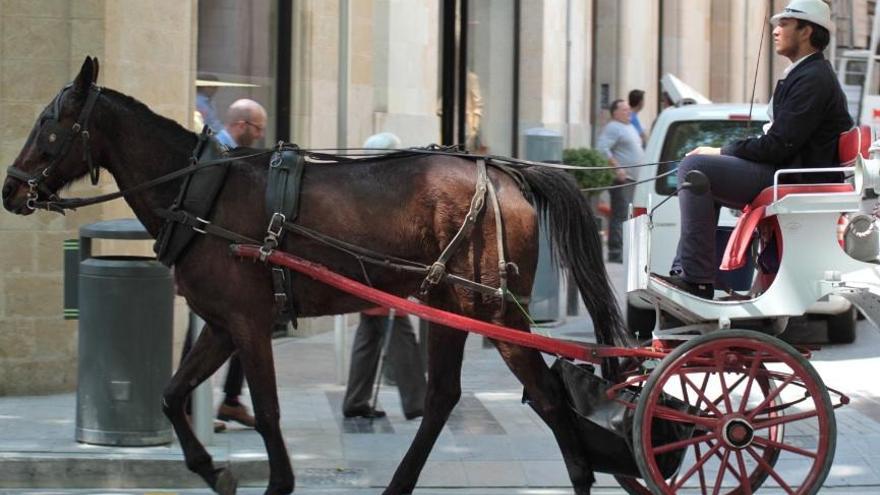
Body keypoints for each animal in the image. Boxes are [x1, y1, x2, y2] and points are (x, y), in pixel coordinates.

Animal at [1, 57, 632, 495]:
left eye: (49, 125)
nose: (10, 189)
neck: (201, 194)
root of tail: (503, 172)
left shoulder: (249, 324)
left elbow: (268, 409)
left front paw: (278, 481)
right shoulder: (223, 326)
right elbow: (172, 394)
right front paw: (212, 470)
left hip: (492, 313)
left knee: (544, 396)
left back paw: (580, 474)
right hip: (451, 309)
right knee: (451, 399)